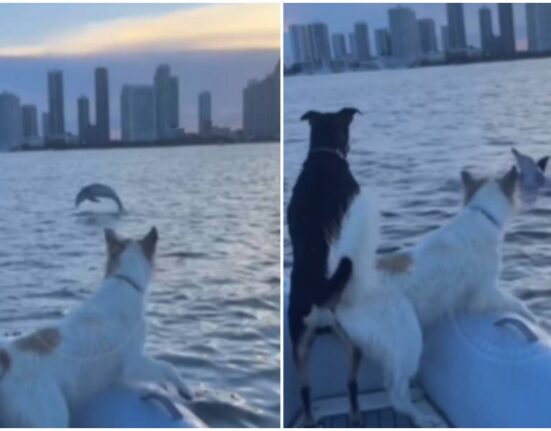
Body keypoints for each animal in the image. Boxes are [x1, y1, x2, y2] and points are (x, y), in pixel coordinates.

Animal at [0, 228, 193, 426]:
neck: (123, 281)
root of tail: (7, 359)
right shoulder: (133, 363)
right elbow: (167, 366)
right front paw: (184, 389)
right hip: (52, 414)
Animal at [330, 167, 536, 426]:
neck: (481, 215)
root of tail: (351, 292)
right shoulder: (484, 292)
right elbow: (517, 303)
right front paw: (532, 316)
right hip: (408, 340)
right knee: (397, 396)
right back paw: (423, 419)